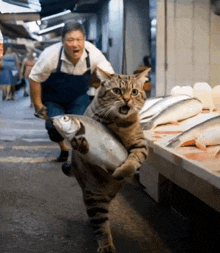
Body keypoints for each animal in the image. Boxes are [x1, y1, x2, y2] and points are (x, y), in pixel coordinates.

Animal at [67, 67, 150, 253]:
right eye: (117, 91)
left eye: (134, 92)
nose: (126, 99)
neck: (119, 123)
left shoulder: (140, 145)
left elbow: (133, 161)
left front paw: (124, 170)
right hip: (94, 195)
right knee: (100, 222)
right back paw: (105, 244)